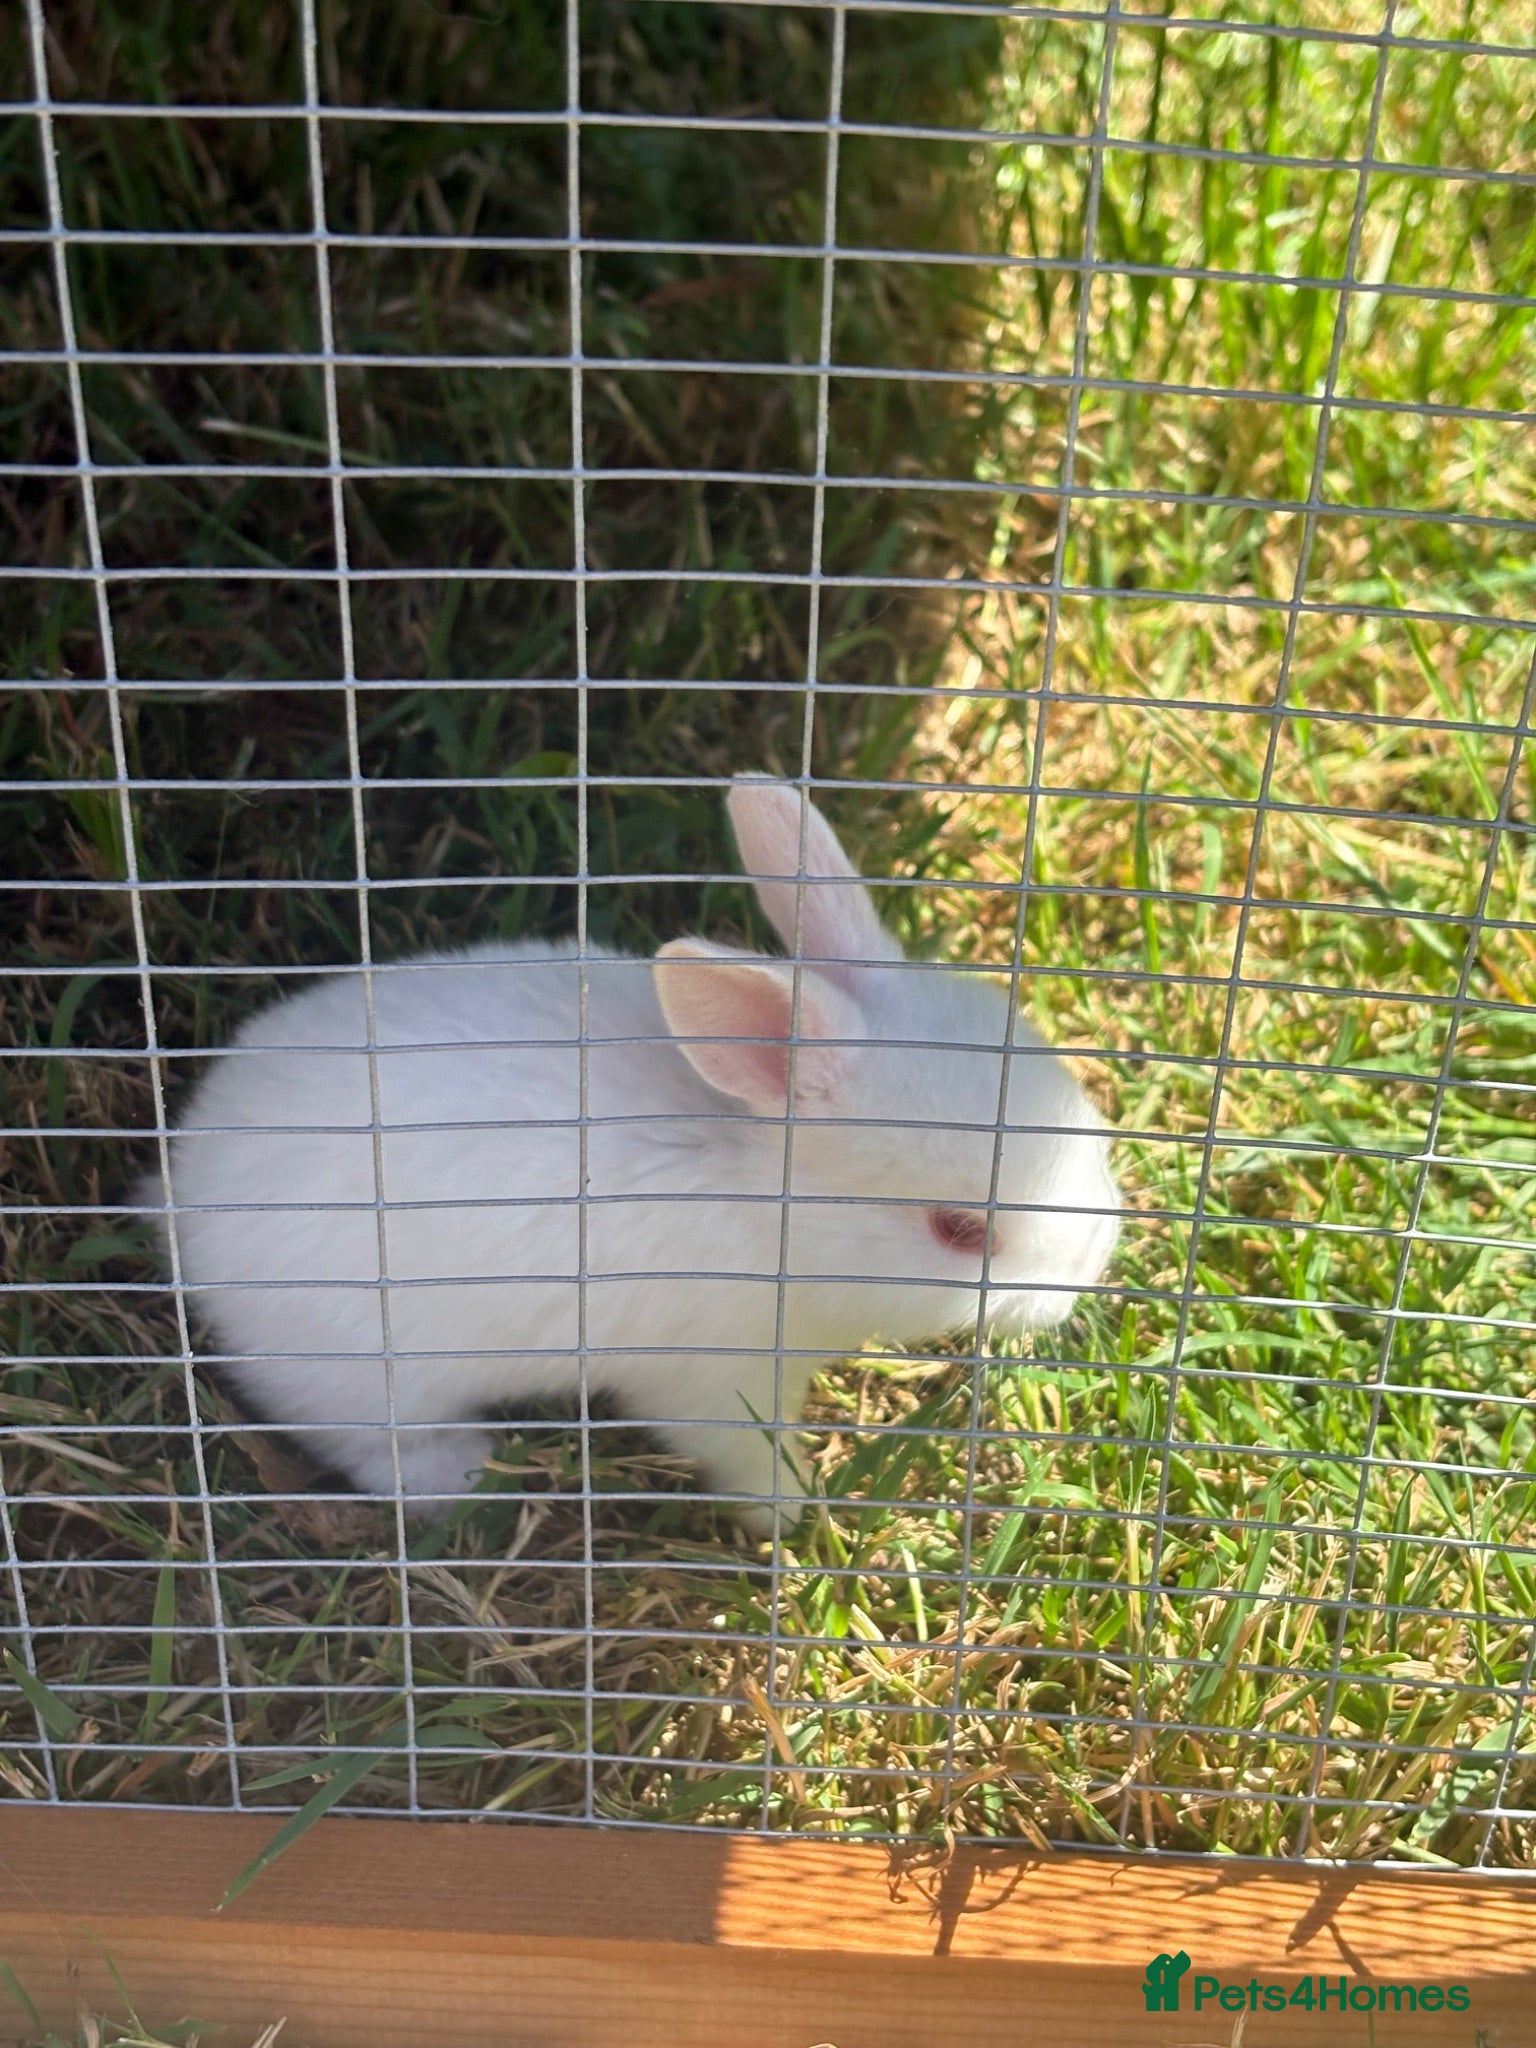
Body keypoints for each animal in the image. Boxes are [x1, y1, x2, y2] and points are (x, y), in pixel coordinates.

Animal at [159, 776, 1120, 1534]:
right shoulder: (712, 1381)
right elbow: (742, 1455)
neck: (765, 1192)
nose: (1090, 1268)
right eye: (958, 1230)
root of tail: (175, 1186)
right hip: (359, 1376)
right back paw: (462, 1473)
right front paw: (793, 1512)